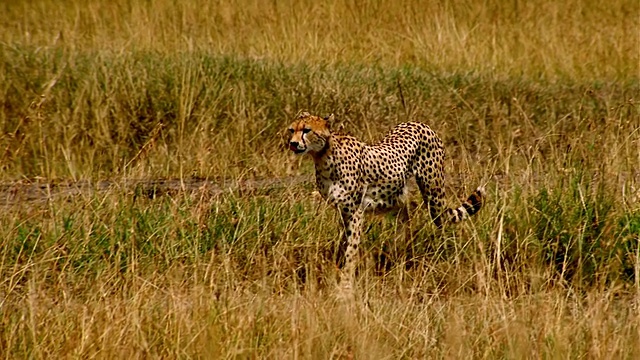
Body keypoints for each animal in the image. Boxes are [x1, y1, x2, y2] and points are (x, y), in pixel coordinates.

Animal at [286, 112, 484, 286]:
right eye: (291, 130)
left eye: (307, 130)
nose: (293, 143)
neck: (323, 155)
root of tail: (420, 123)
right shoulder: (343, 211)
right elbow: (344, 242)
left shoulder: (355, 212)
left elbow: (351, 247)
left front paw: (345, 282)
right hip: (397, 199)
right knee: (406, 217)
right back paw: (400, 255)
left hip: (434, 198)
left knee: (441, 220)